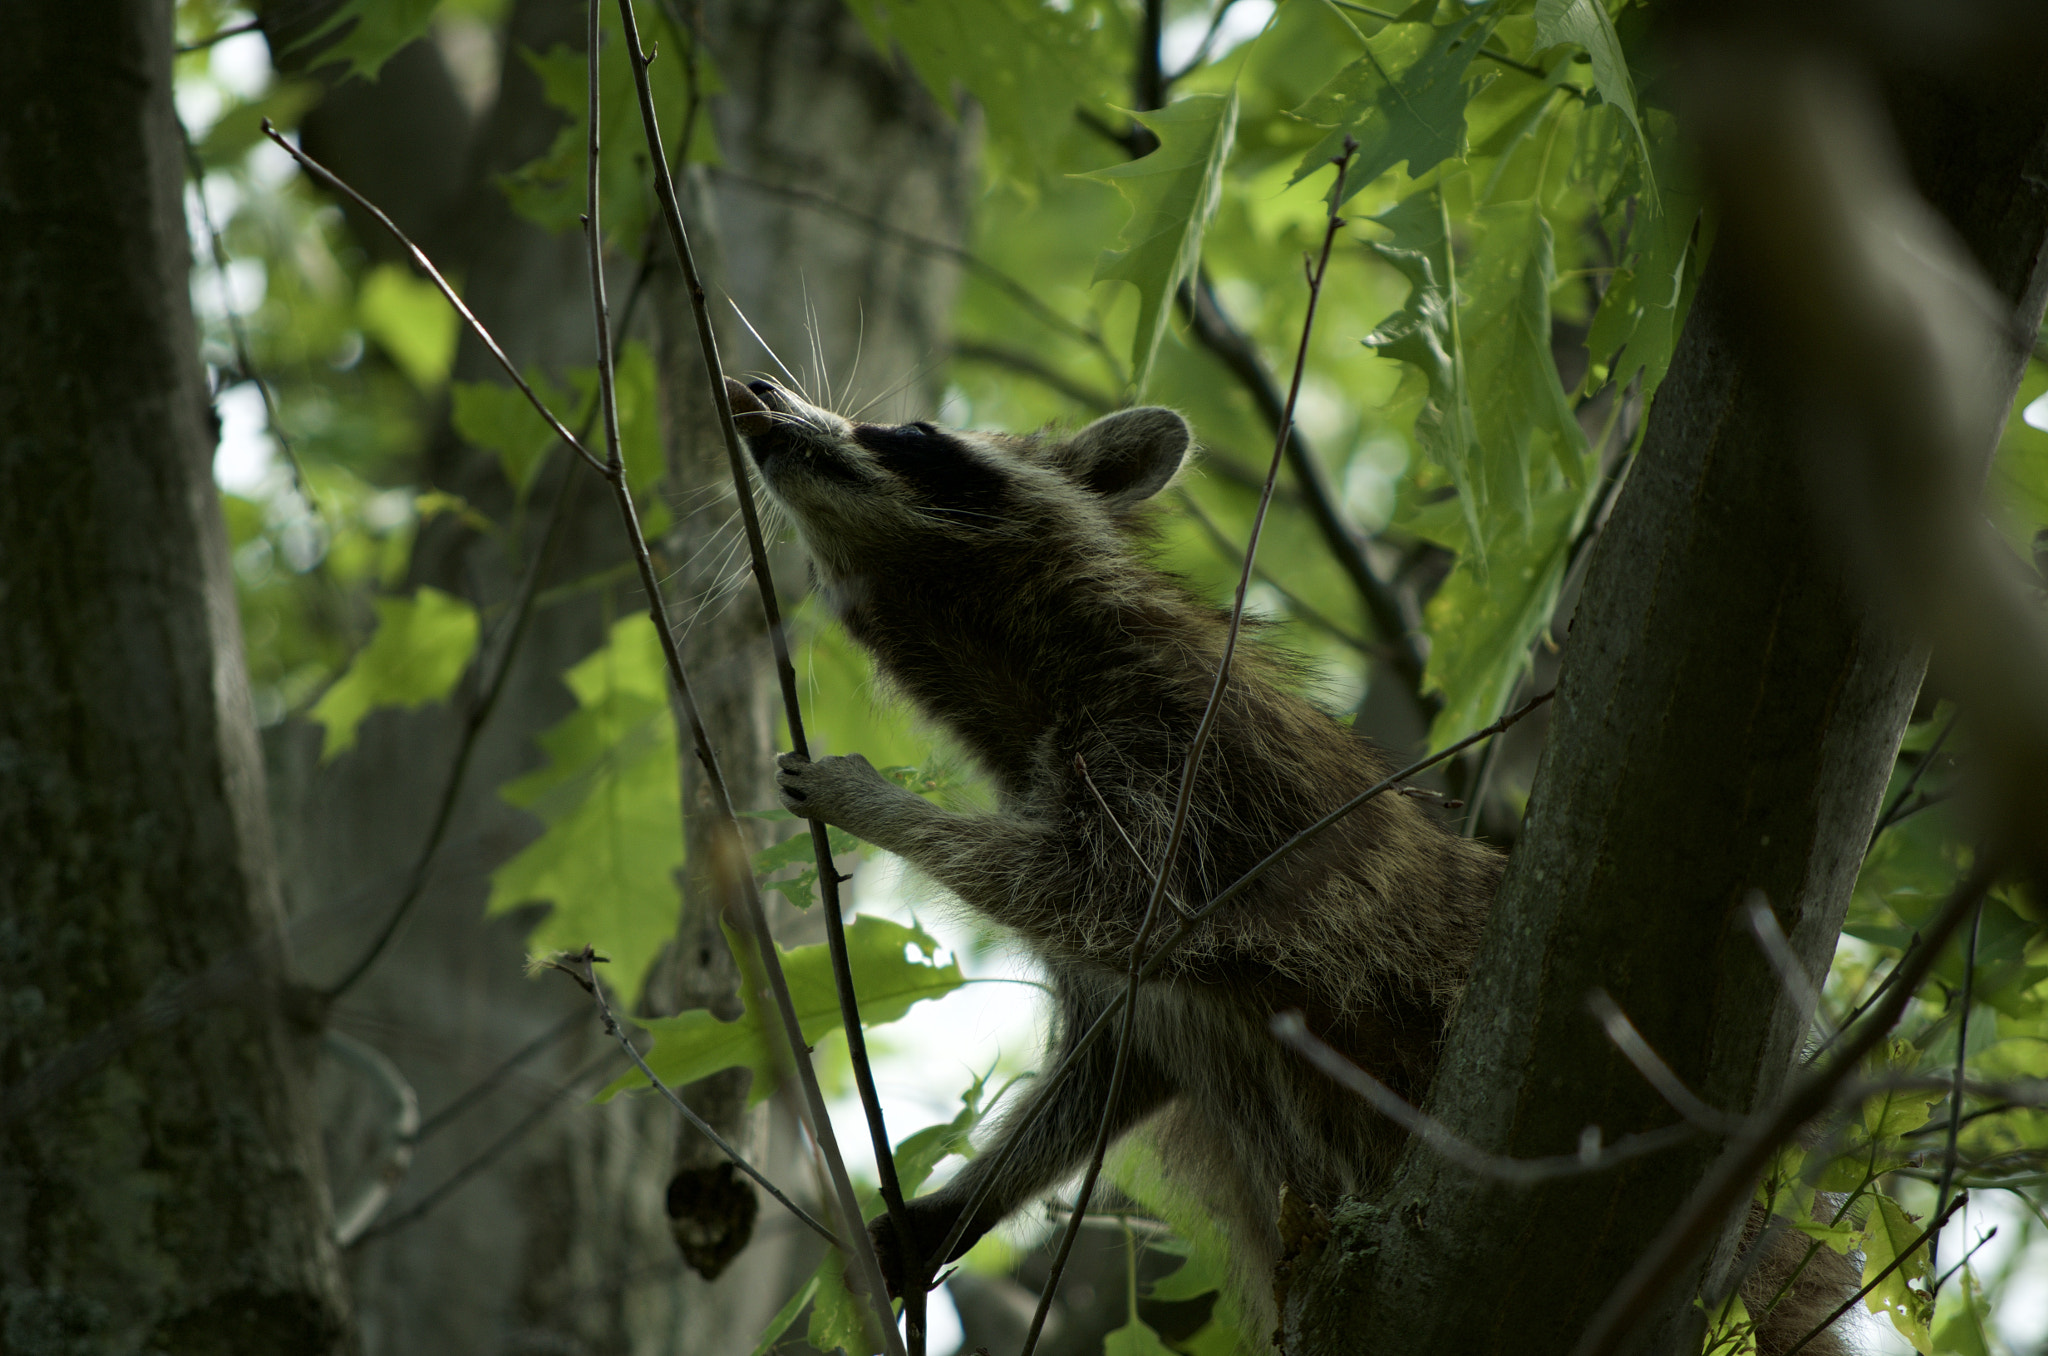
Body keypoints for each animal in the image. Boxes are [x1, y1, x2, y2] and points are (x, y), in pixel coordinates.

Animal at [724, 376, 1859, 1351]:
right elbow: (1114, 1057)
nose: (760, 394)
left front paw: (873, 802)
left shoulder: (1182, 759)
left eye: (914, 433)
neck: (1011, 678)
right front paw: (959, 1203)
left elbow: (1109, 901)